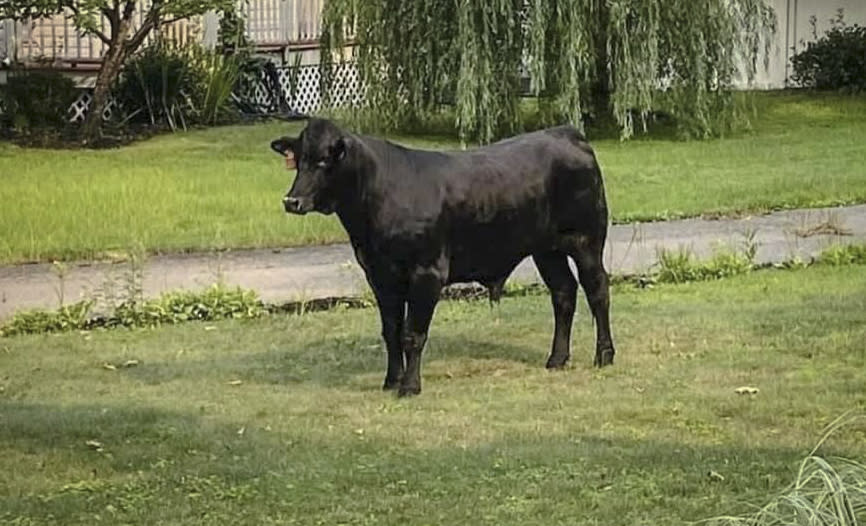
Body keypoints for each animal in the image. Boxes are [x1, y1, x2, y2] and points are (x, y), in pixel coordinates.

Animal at [272, 119, 616, 398]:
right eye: (299, 159)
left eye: (323, 160)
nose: (292, 201)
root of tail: (565, 133)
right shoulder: (379, 275)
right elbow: (391, 331)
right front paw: (391, 381)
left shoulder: (426, 272)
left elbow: (413, 334)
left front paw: (410, 386)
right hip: (546, 250)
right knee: (563, 293)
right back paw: (557, 359)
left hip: (586, 240)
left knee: (597, 290)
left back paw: (604, 355)